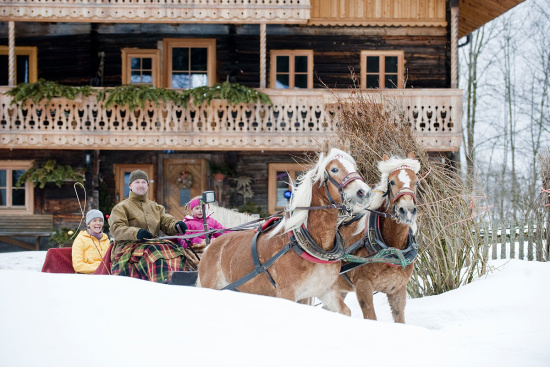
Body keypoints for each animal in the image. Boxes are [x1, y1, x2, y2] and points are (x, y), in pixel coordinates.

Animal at [196, 144, 374, 316]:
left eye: (354, 167)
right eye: (334, 169)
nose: (364, 192)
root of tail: (210, 246)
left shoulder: (325, 290)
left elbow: (345, 311)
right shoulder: (287, 293)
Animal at [336, 154, 422, 324]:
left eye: (416, 181)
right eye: (392, 182)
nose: (407, 210)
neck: (392, 248)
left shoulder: (398, 289)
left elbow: (400, 319)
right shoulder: (363, 285)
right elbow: (371, 317)